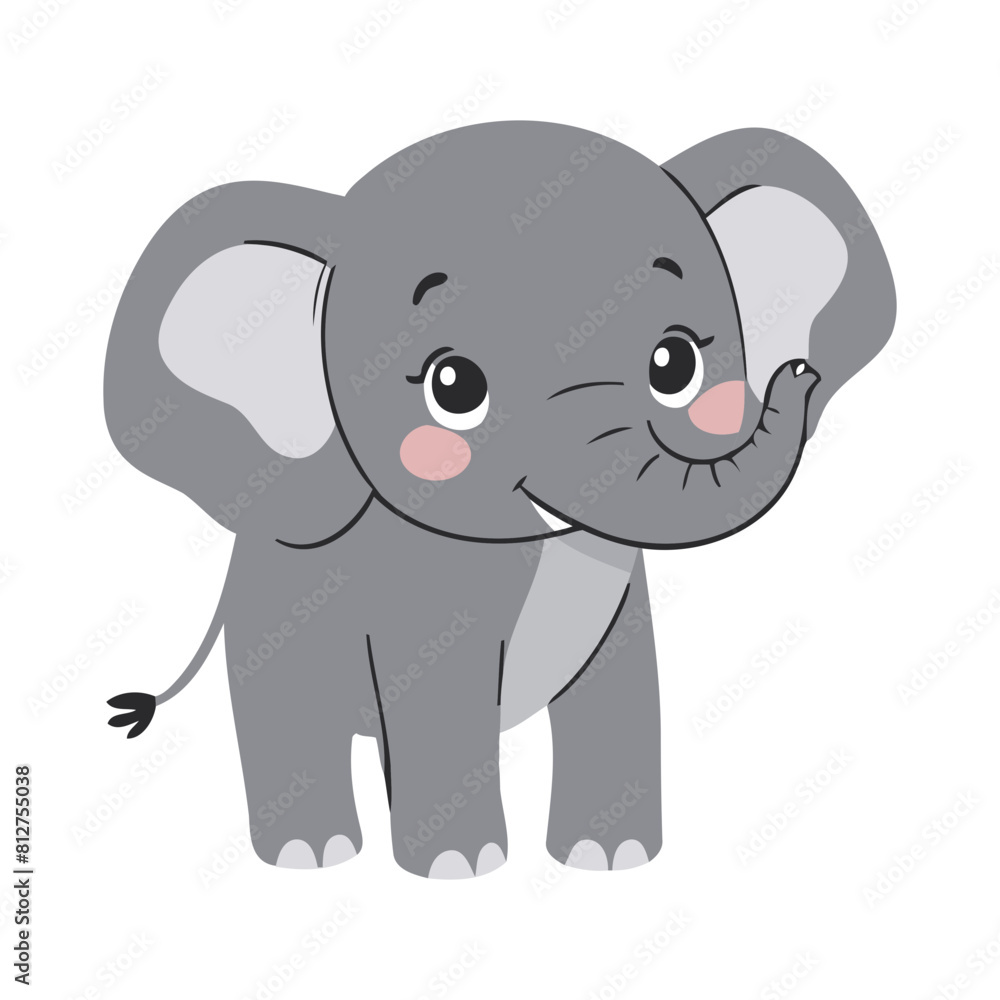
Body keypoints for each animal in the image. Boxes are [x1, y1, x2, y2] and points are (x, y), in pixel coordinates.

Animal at [104, 120, 895, 878]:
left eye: (675, 365)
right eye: (453, 387)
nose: (799, 373)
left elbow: (621, 687)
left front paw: (609, 860)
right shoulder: (420, 595)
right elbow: (441, 697)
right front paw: (460, 869)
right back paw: (313, 854)